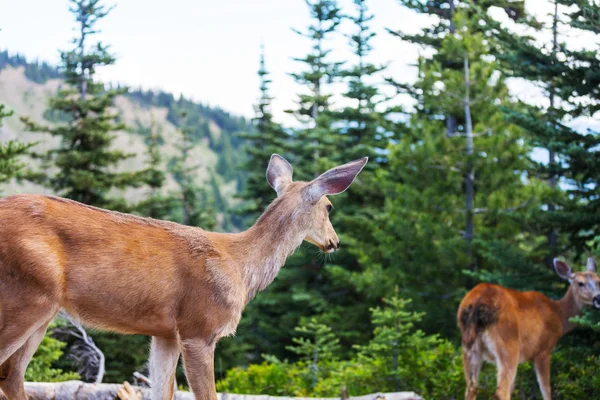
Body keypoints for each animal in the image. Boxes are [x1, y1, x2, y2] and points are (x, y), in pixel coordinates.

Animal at [0, 154, 368, 400]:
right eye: (329, 207)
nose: (335, 242)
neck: (241, 267)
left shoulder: (165, 333)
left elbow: (162, 391)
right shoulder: (199, 327)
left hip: (43, 311)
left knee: (11, 375)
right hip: (29, 294)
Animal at [460, 256, 600, 400]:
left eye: (598, 281)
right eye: (580, 283)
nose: (598, 298)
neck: (559, 315)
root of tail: (479, 301)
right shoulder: (543, 351)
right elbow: (546, 390)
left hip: (469, 346)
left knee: (471, 388)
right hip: (508, 344)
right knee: (501, 391)